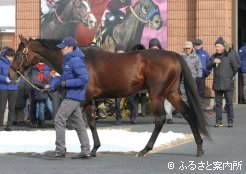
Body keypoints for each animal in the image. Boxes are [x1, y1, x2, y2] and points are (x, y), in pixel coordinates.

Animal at [9, 35, 209, 158]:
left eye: (19, 53)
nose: (11, 73)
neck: (78, 59)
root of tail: (174, 55)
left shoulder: (84, 100)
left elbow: (81, 122)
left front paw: (78, 149)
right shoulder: (85, 101)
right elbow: (87, 123)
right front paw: (91, 149)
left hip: (157, 94)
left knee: (160, 119)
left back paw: (145, 149)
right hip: (171, 93)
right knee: (188, 113)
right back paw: (199, 147)